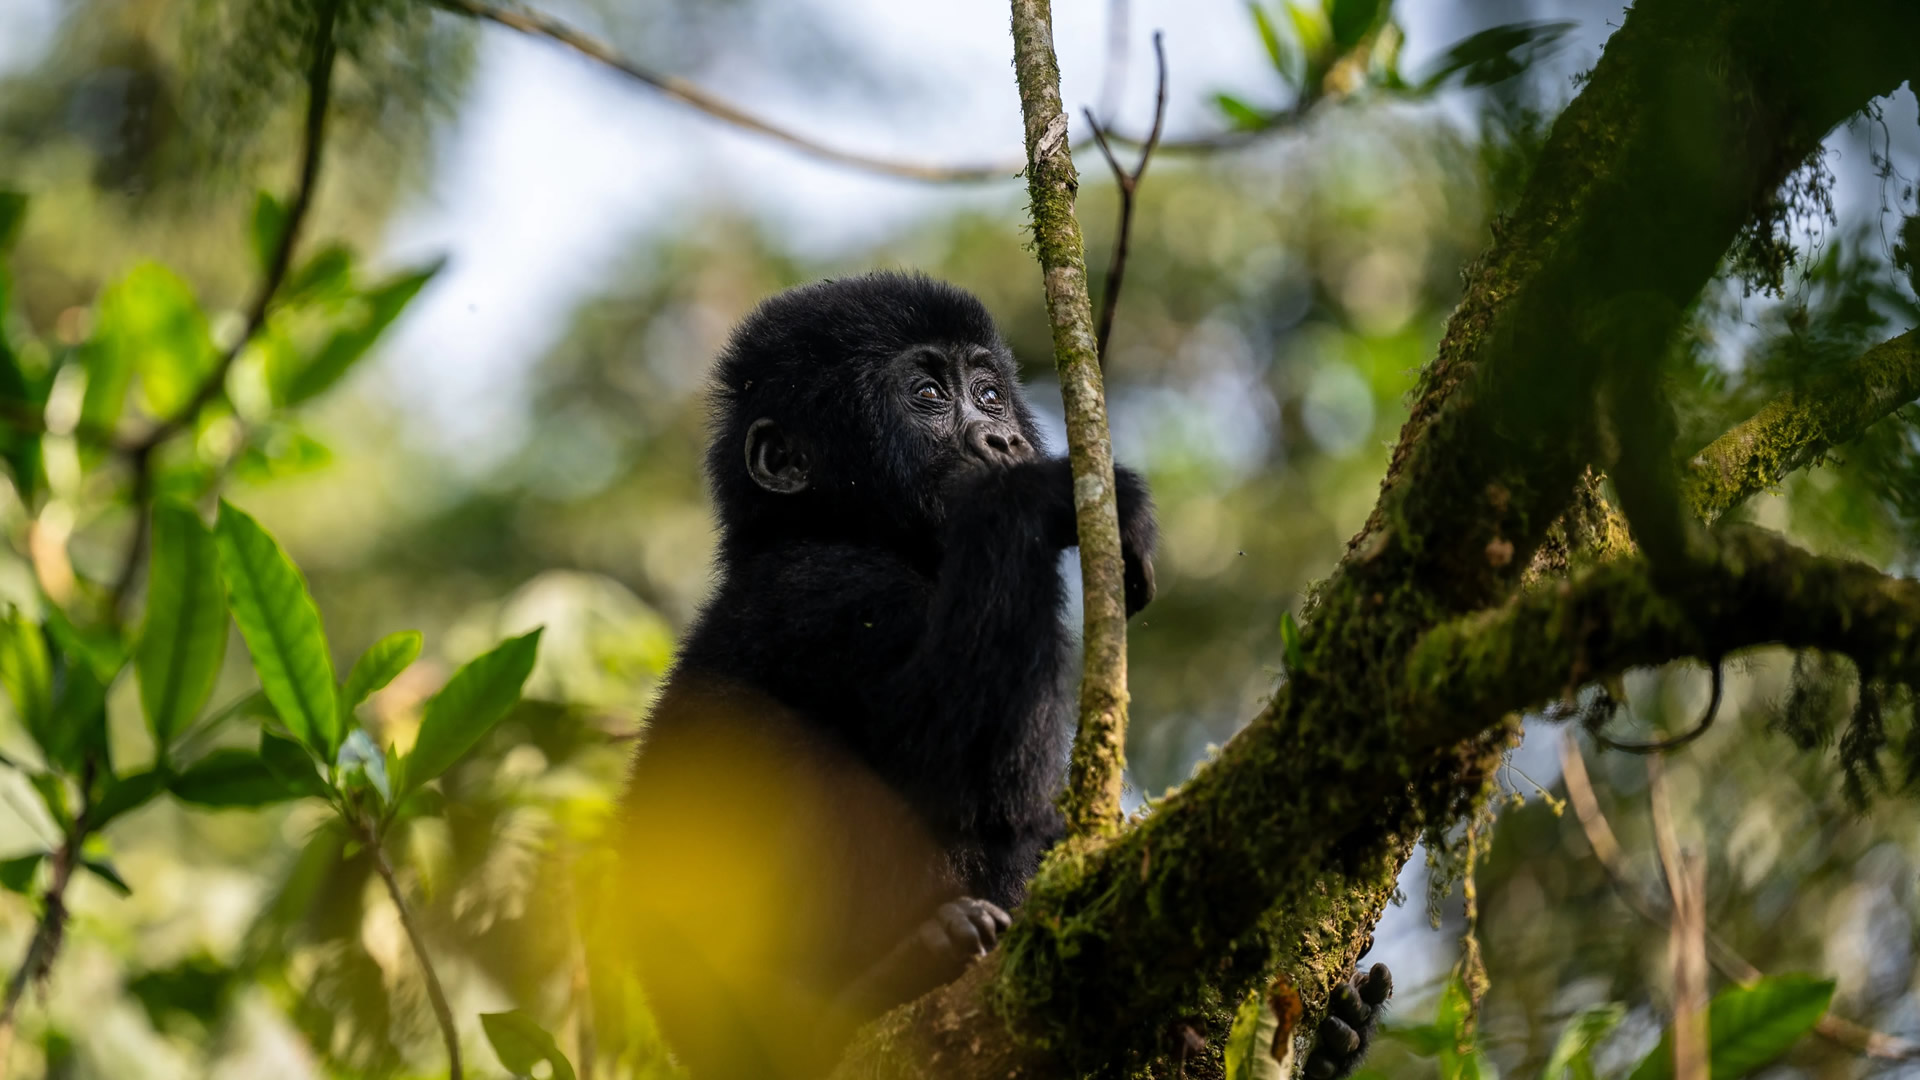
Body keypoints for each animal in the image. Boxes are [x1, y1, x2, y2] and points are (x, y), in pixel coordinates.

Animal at [622, 272, 1390, 1068]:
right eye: (929, 394)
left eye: (988, 392)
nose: (1003, 438)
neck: (836, 525)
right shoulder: (821, 585)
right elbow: (965, 774)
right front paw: (1031, 491)